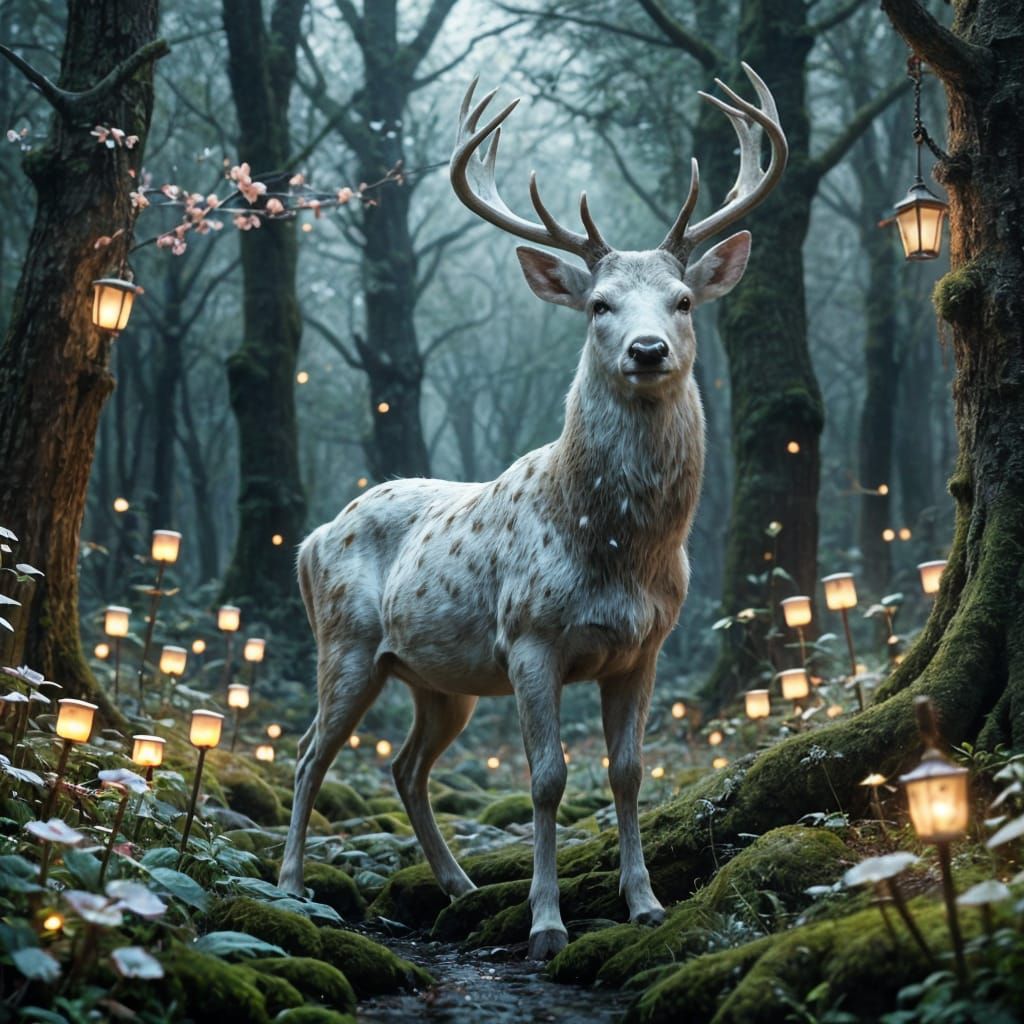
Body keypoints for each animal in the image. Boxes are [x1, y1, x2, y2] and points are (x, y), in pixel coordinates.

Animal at [279, 64, 786, 960]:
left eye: (684, 300)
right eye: (599, 305)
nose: (647, 350)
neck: (617, 549)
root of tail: (312, 538)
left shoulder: (646, 646)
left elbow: (628, 772)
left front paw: (645, 903)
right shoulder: (529, 637)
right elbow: (546, 779)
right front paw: (546, 924)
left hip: (438, 678)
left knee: (405, 765)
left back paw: (459, 884)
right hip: (345, 641)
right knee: (309, 754)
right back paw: (293, 885)